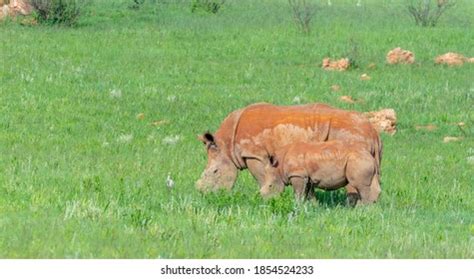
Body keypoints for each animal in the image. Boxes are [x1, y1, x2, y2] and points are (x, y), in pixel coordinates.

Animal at [196, 103, 382, 201]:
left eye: (215, 172)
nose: (204, 195)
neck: (226, 145)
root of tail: (374, 132)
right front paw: (311, 204)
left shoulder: (254, 154)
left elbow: (262, 178)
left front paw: (267, 196)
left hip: (351, 136)